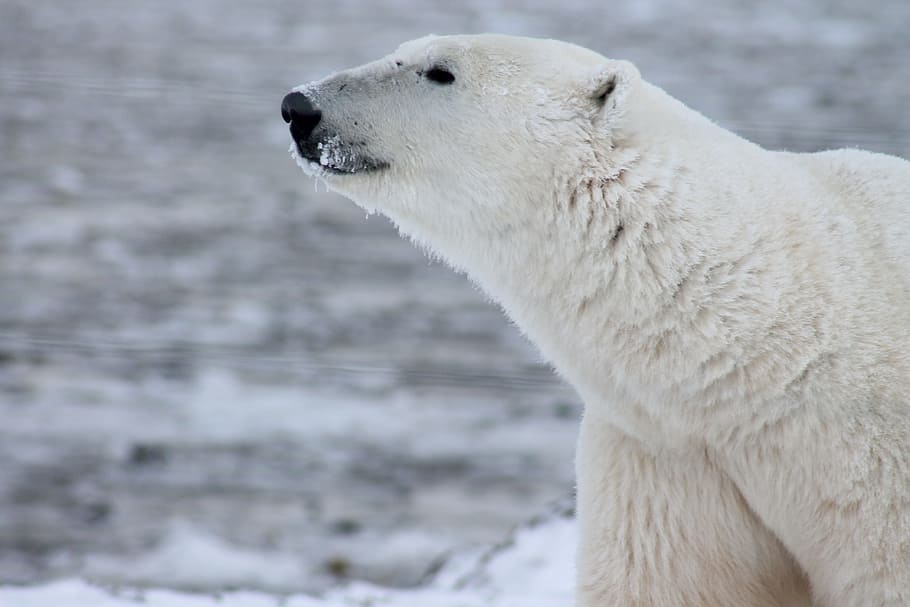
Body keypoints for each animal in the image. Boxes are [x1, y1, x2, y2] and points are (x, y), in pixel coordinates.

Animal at [282, 34, 910, 606]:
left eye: (440, 71)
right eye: (400, 50)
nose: (298, 107)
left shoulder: (878, 474)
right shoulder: (670, 458)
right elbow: (667, 582)